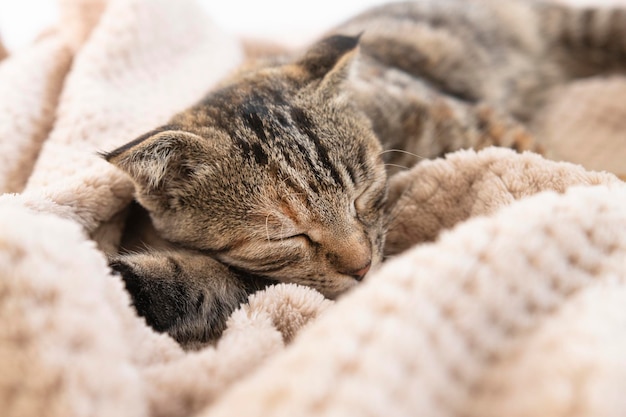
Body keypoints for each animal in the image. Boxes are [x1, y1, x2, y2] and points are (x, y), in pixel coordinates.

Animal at [103, 0, 624, 348]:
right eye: (286, 236)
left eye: (363, 194)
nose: (361, 266)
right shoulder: (256, 282)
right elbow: (185, 282)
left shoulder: (477, 123)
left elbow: (541, 163)